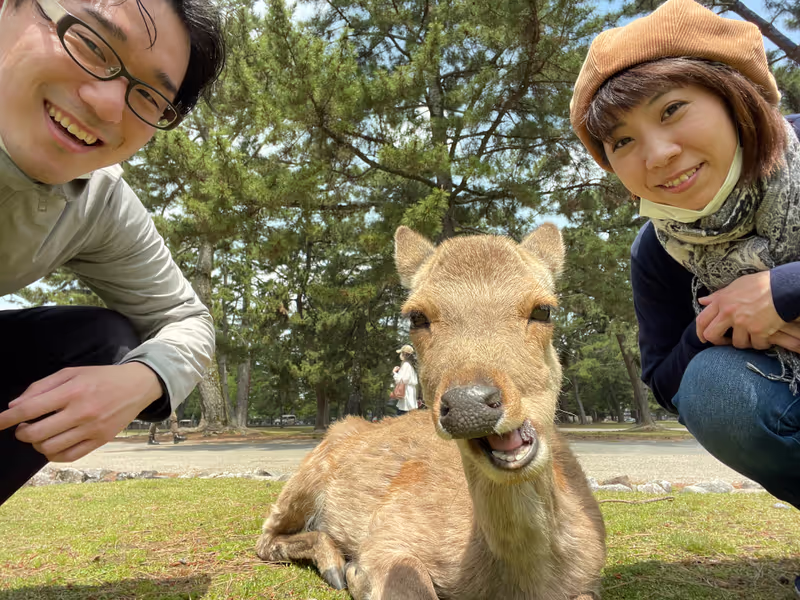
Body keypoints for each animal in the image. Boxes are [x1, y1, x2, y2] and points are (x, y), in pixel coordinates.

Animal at [255, 224, 606, 599]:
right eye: (416, 316)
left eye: (544, 310)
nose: (470, 403)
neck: (520, 583)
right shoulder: (389, 527)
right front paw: (357, 574)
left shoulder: (589, 576)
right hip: (306, 474)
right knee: (266, 536)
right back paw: (337, 566)